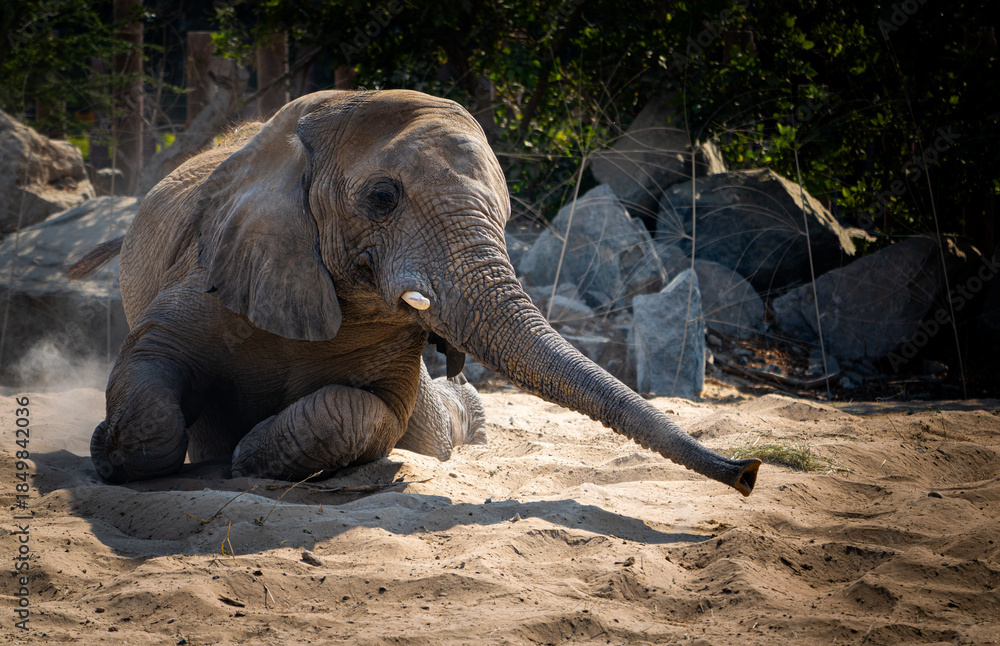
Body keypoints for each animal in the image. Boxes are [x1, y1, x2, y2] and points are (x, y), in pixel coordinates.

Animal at [68, 89, 760, 496]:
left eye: (508, 216)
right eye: (382, 197)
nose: (749, 472)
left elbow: (372, 412)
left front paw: (248, 460)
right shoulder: (211, 264)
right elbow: (150, 365)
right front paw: (109, 454)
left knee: (429, 430)